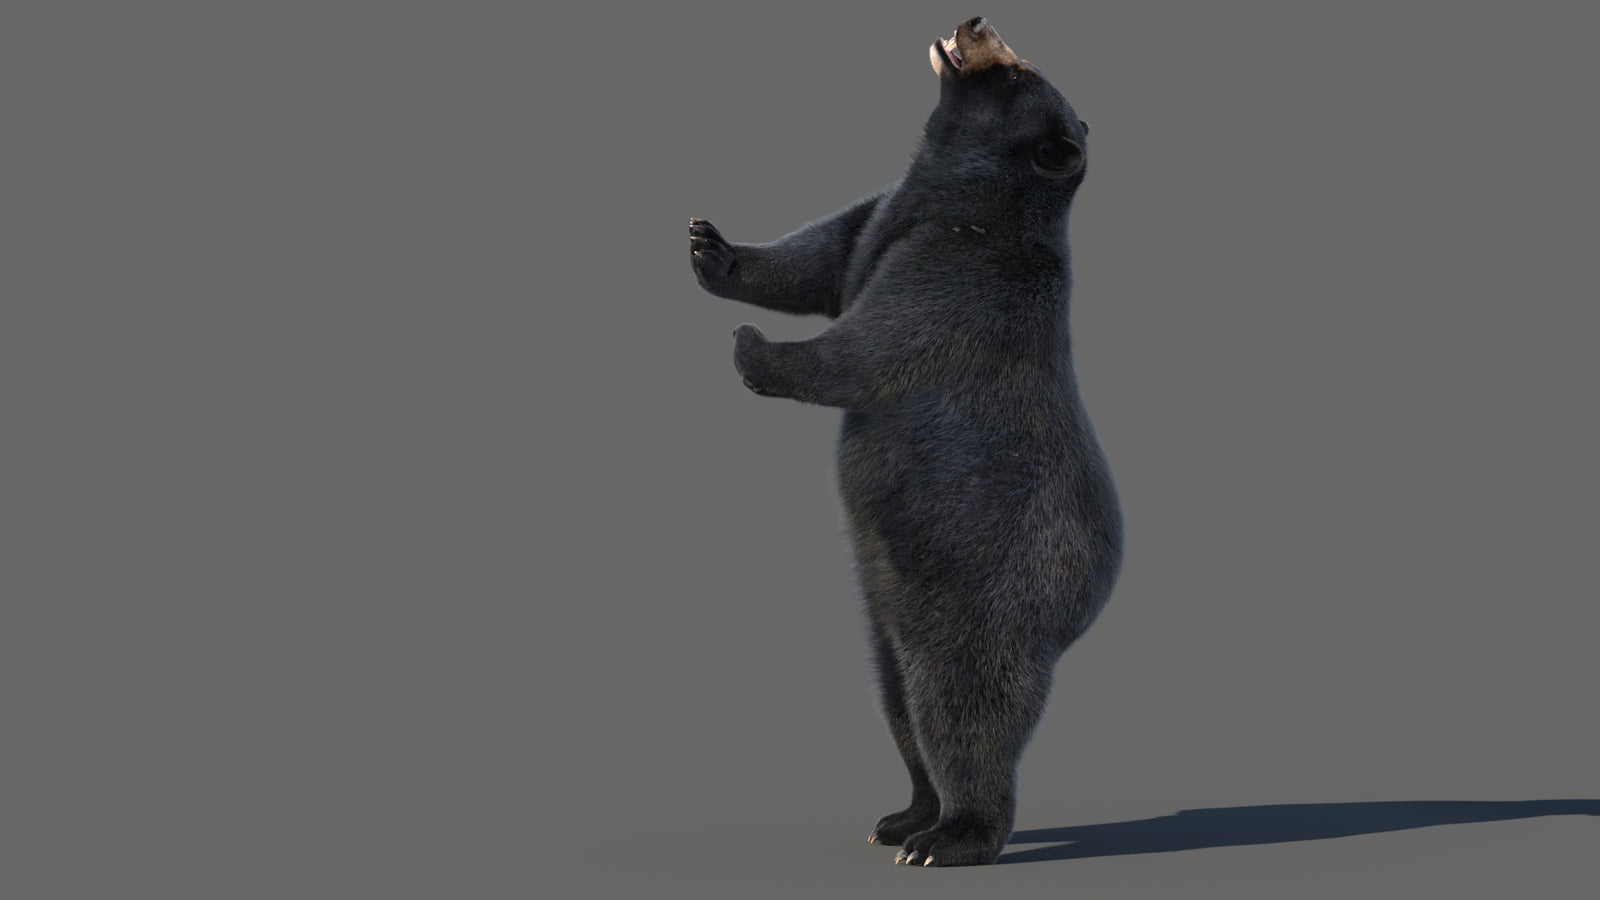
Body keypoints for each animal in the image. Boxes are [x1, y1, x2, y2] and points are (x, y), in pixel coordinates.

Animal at [688, 17, 1122, 867]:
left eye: (1017, 70)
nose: (974, 22)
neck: (952, 198)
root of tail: (1087, 605)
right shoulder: (882, 218)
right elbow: (820, 258)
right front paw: (710, 246)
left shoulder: (964, 272)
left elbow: (876, 343)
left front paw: (753, 347)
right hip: (886, 610)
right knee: (897, 704)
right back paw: (903, 816)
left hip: (987, 595)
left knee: (961, 710)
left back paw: (952, 836)